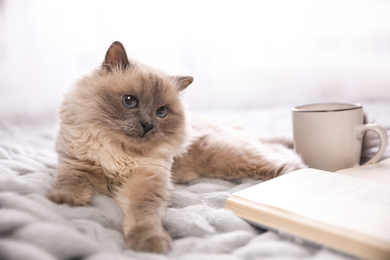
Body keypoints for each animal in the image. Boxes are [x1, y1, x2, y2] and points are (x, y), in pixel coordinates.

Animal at [47, 41, 306, 254]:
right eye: (129, 101)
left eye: (161, 112)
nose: (147, 125)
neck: (120, 151)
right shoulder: (78, 165)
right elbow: (71, 183)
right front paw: (64, 201)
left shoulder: (145, 181)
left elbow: (144, 216)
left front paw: (149, 243)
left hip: (230, 158)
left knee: (284, 158)